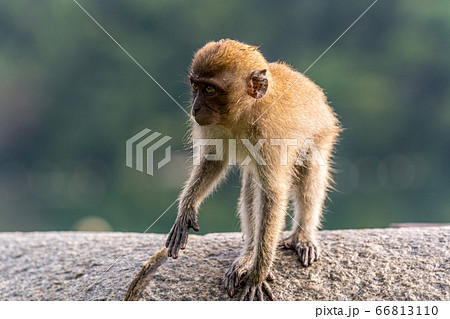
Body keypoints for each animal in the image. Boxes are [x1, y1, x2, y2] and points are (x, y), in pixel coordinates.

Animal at [165, 38, 342, 302]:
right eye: (195, 87)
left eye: (209, 90)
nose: (195, 108)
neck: (245, 113)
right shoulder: (213, 125)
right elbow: (214, 160)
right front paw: (186, 209)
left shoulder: (269, 135)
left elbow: (272, 195)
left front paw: (258, 274)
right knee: (251, 186)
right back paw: (249, 254)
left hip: (322, 133)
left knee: (309, 172)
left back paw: (301, 236)